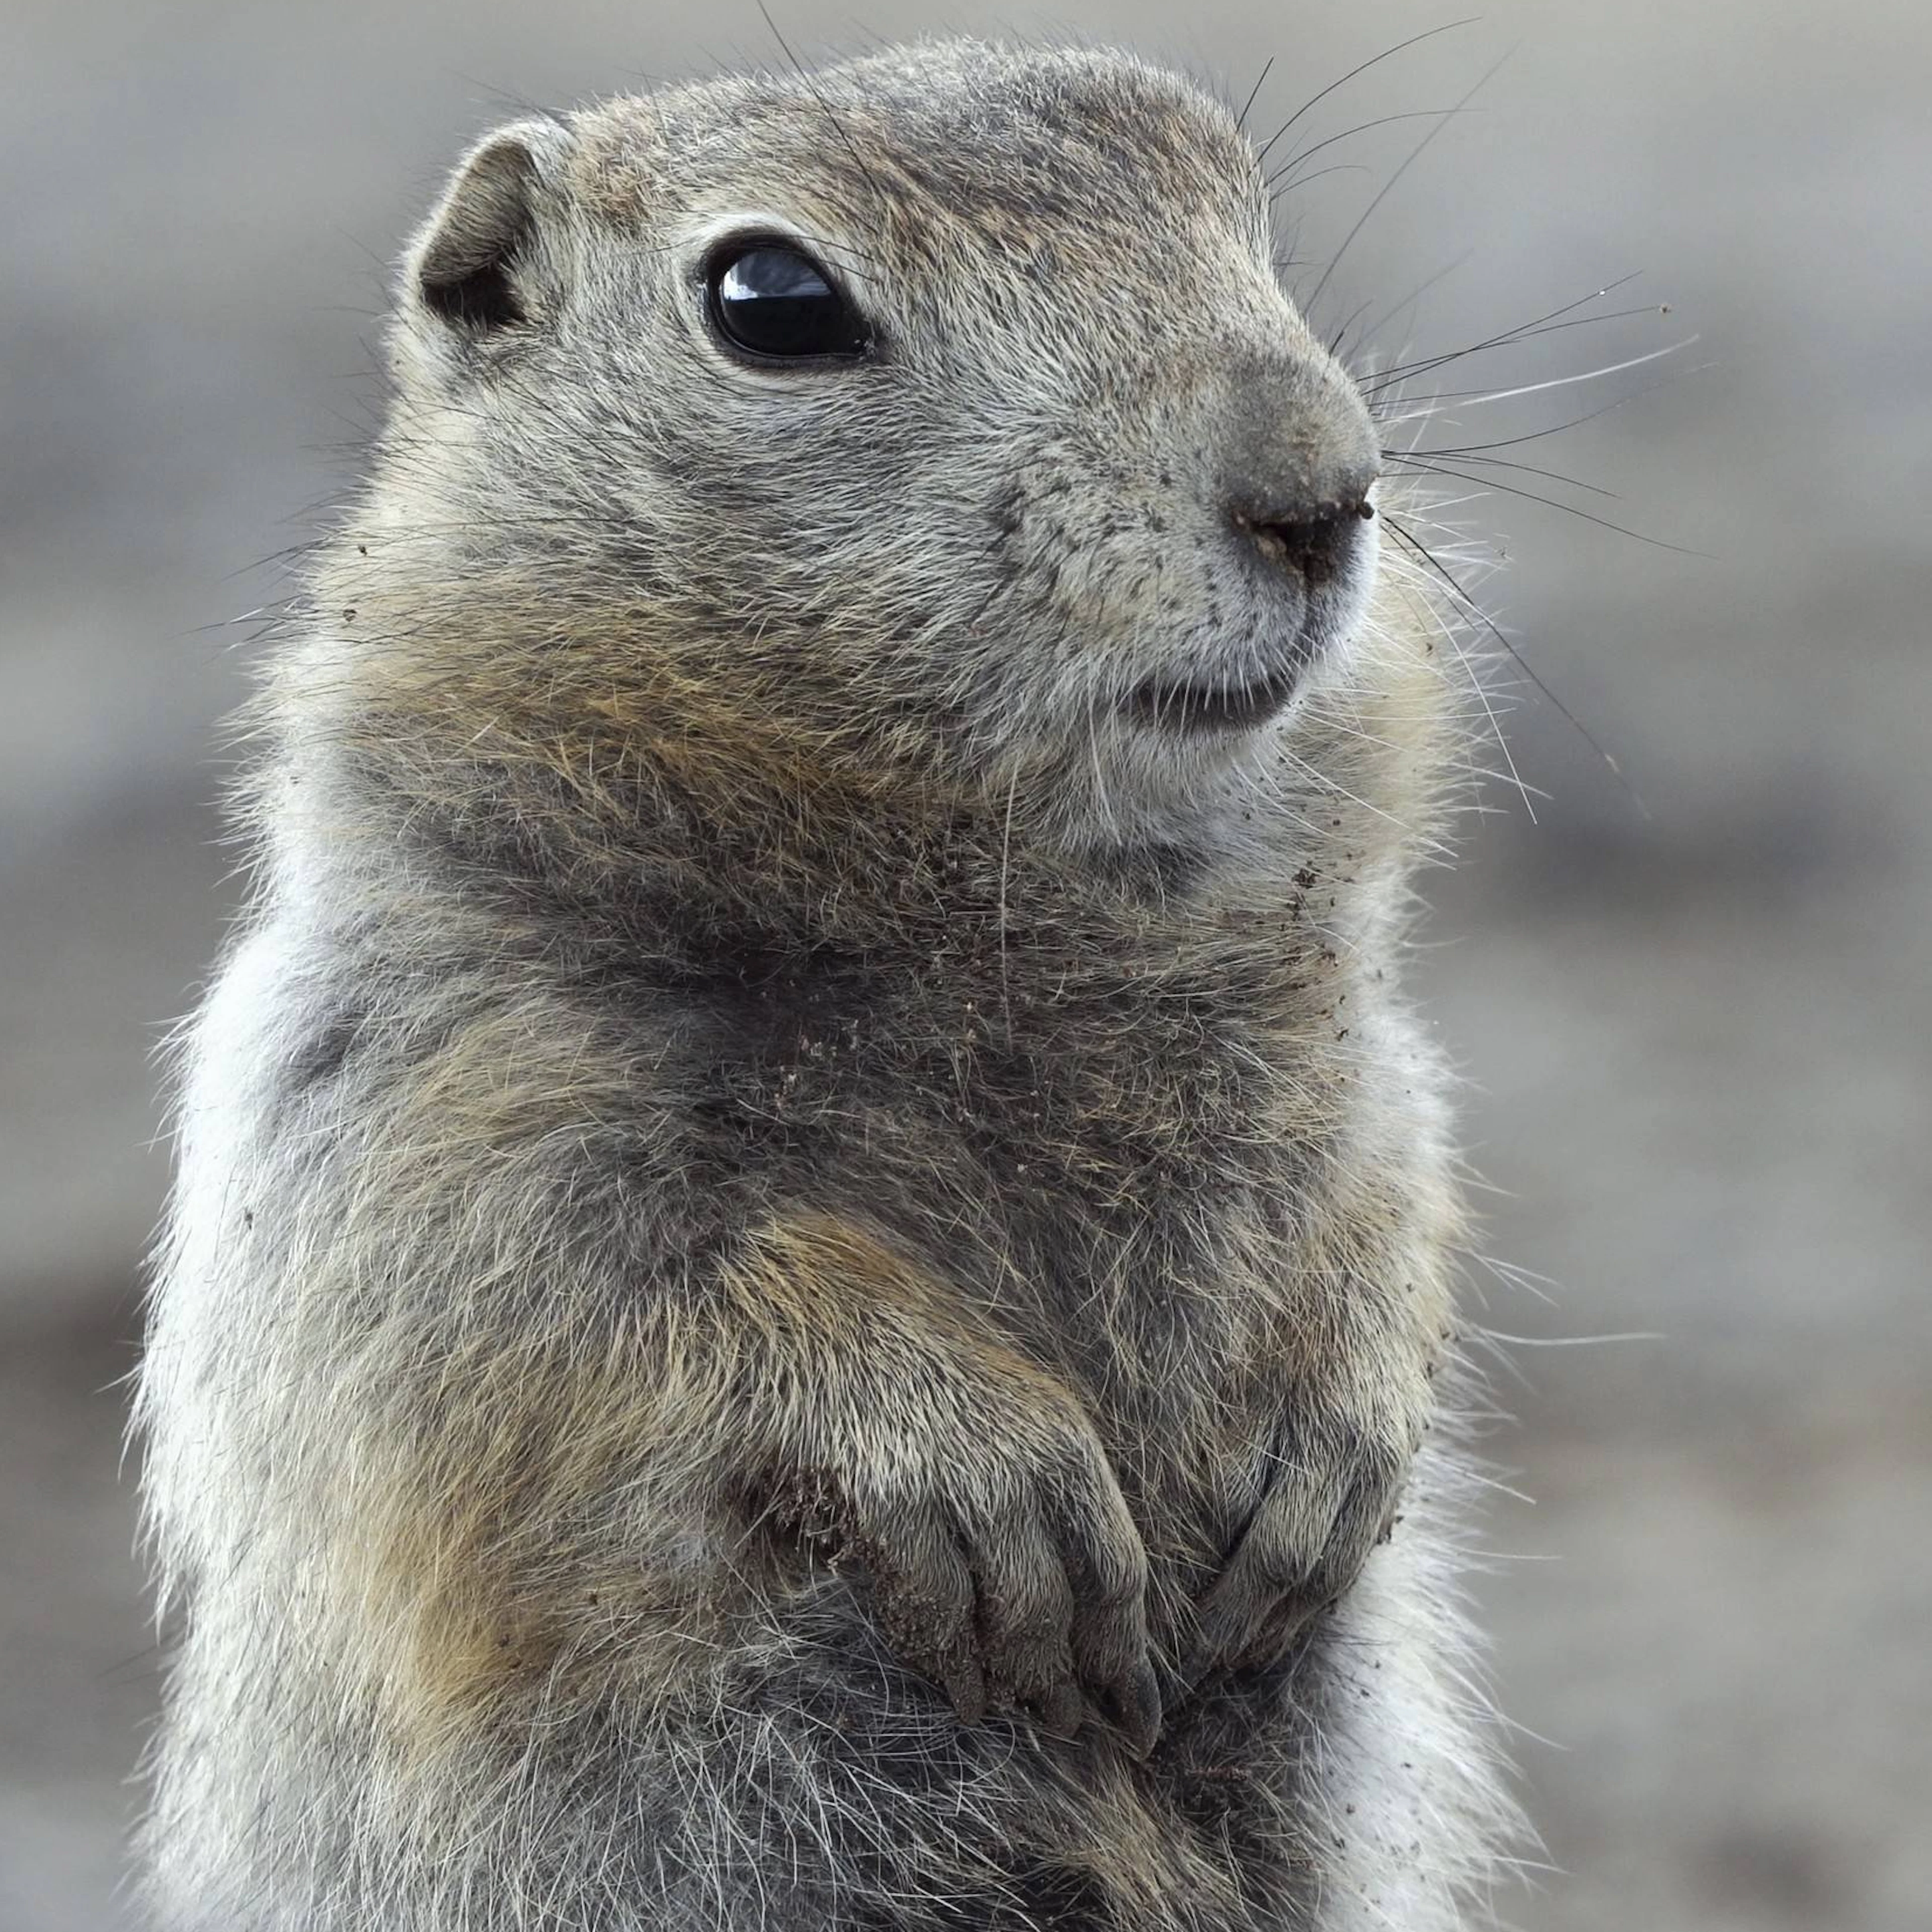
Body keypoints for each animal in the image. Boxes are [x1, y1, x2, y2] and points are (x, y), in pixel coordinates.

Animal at [137, 38, 1511, 1932]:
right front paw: (987, 1480)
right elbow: (595, 1288)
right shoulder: (422, 1095)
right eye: (771, 301)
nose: (1320, 487)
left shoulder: (1353, 1060)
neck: (996, 919)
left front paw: (1330, 1459)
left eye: (1236, 201)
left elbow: (1395, 1192)